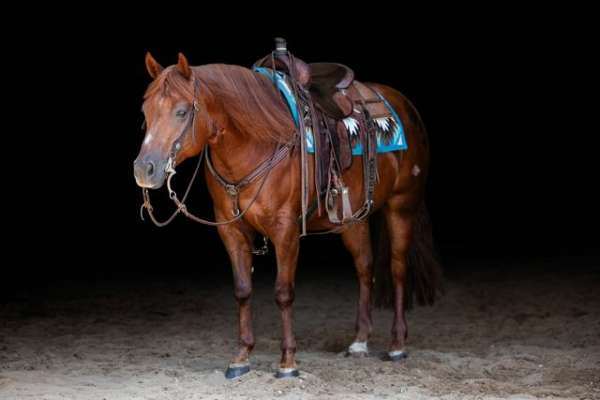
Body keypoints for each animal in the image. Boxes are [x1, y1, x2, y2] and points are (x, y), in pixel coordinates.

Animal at [135, 52, 440, 378]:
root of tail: (405, 106)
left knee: (397, 270)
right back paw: (359, 341)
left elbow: (283, 292)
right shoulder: (231, 230)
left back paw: (397, 345)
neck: (255, 143)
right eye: (146, 110)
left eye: (181, 112)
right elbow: (242, 290)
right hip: (352, 219)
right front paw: (241, 357)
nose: (144, 169)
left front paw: (288, 361)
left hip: (401, 207)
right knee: (365, 268)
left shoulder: (285, 230)